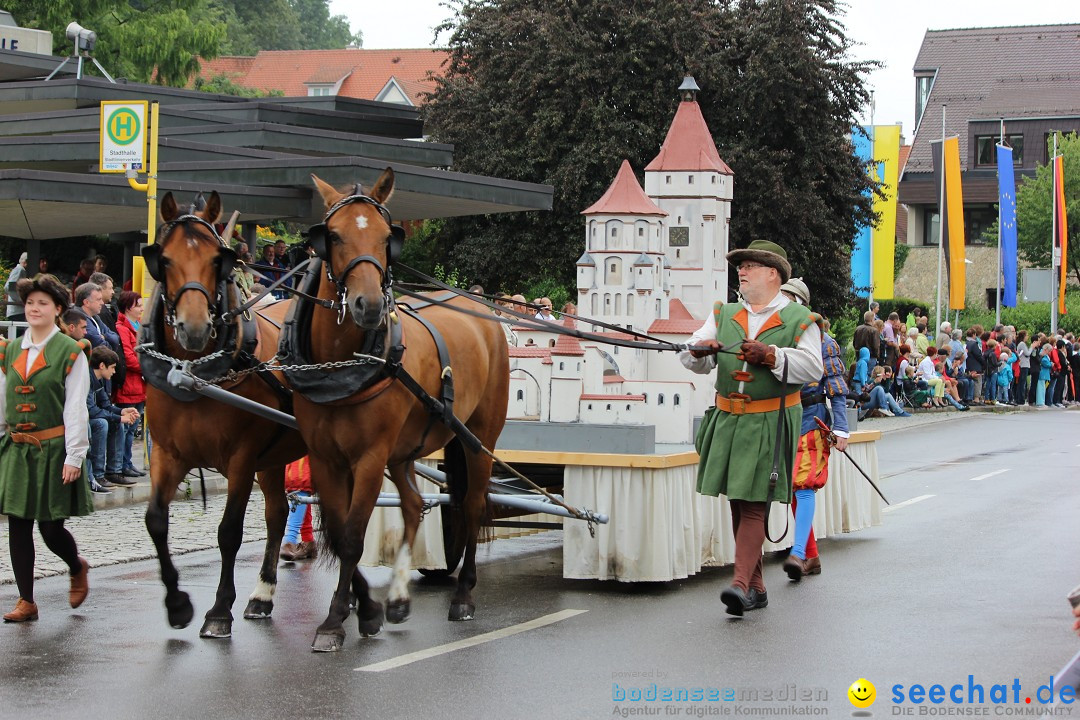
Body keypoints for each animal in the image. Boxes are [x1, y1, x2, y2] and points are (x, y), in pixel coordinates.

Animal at [141, 191, 306, 634]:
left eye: (220, 260)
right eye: (162, 259)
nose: (194, 328)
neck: (195, 374)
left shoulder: (242, 458)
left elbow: (229, 531)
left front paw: (218, 609)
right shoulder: (167, 453)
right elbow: (156, 520)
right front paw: (177, 603)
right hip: (277, 455)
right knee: (277, 513)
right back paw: (263, 594)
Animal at [295, 170, 509, 651]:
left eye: (385, 237)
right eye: (332, 236)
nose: (370, 305)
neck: (342, 368)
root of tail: (481, 310)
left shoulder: (370, 458)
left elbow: (352, 536)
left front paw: (335, 620)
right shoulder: (325, 458)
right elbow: (340, 530)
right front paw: (365, 610)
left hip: (477, 439)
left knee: (471, 505)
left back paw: (463, 595)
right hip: (406, 449)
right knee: (413, 505)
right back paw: (396, 598)